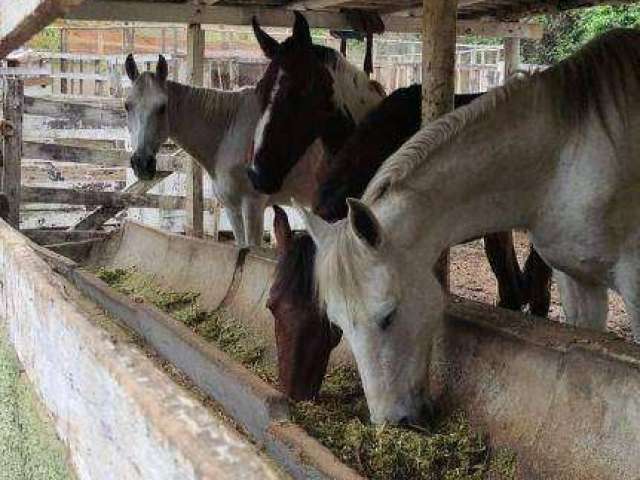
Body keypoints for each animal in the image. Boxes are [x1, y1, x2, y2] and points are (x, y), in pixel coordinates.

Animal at [124, 54, 324, 246]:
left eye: (162, 107)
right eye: (127, 105)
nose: (142, 163)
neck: (229, 133)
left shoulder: (253, 206)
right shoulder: (232, 208)